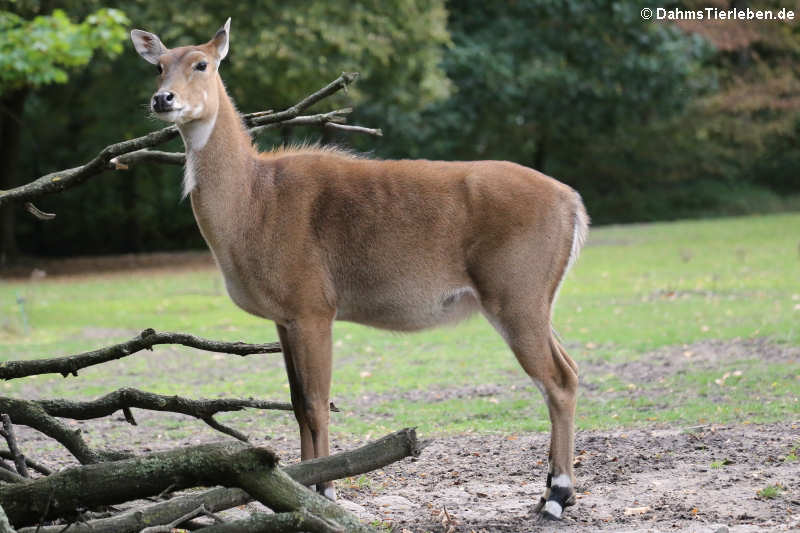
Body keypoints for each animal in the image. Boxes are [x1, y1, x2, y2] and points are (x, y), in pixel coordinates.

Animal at [133, 18, 588, 516]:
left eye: (202, 63)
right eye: (158, 66)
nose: (162, 99)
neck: (253, 202)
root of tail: (573, 202)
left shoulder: (314, 307)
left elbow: (317, 403)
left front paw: (326, 492)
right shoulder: (284, 317)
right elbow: (297, 403)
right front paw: (301, 489)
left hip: (515, 293)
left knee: (557, 379)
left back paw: (557, 496)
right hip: (536, 299)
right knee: (570, 367)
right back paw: (549, 490)